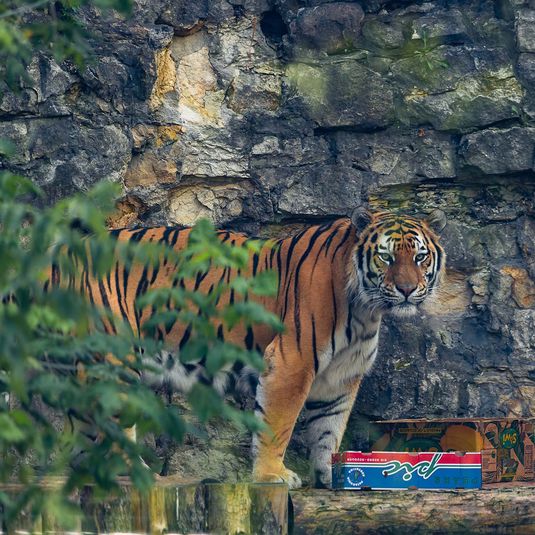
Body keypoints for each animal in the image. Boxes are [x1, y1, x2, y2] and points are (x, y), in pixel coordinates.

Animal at [56, 208, 448, 490]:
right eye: (386, 257)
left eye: (419, 258)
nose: (407, 290)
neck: (366, 310)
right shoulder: (291, 362)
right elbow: (278, 425)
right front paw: (273, 475)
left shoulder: (341, 377)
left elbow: (329, 428)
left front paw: (332, 476)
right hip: (113, 358)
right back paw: (139, 474)